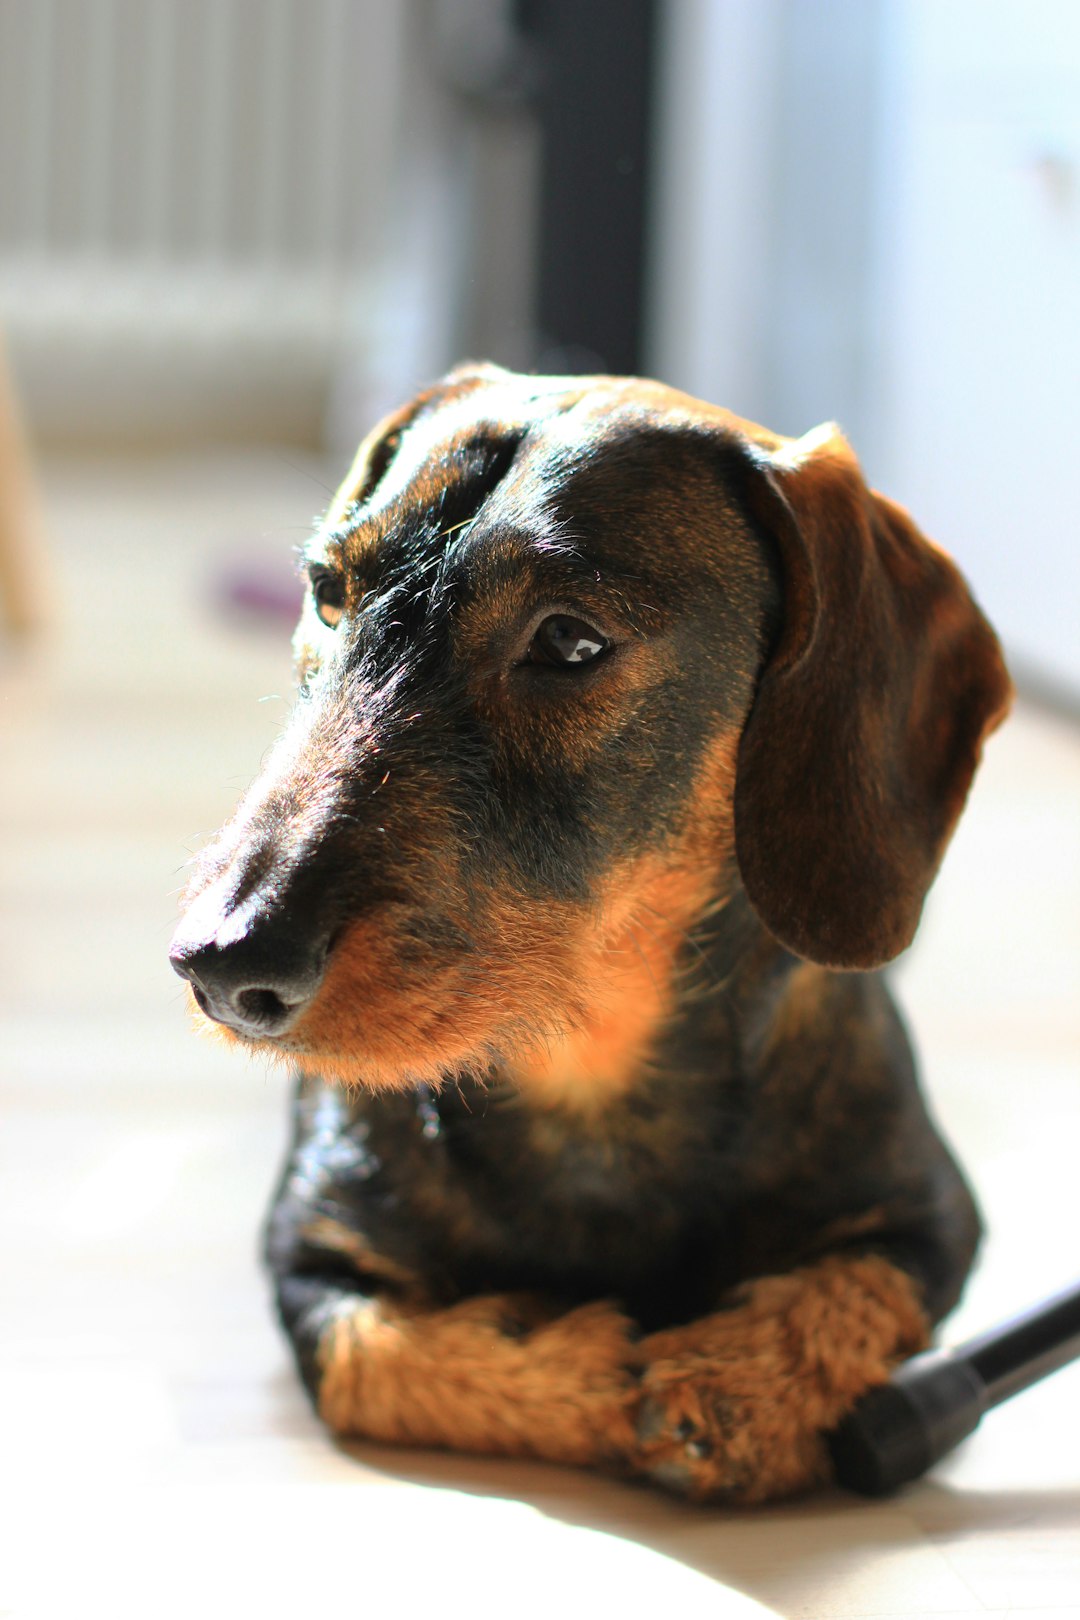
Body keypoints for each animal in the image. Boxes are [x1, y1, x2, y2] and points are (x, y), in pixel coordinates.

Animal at [169, 361, 1016, 1496]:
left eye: (570, 640)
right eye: (327, 593)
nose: (222, 964)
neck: (586, 1069)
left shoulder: (929, 1218)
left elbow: (855, 1289)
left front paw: (737, 1383)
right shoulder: (312, 1254)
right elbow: (373, 1358)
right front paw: (589, 1365)